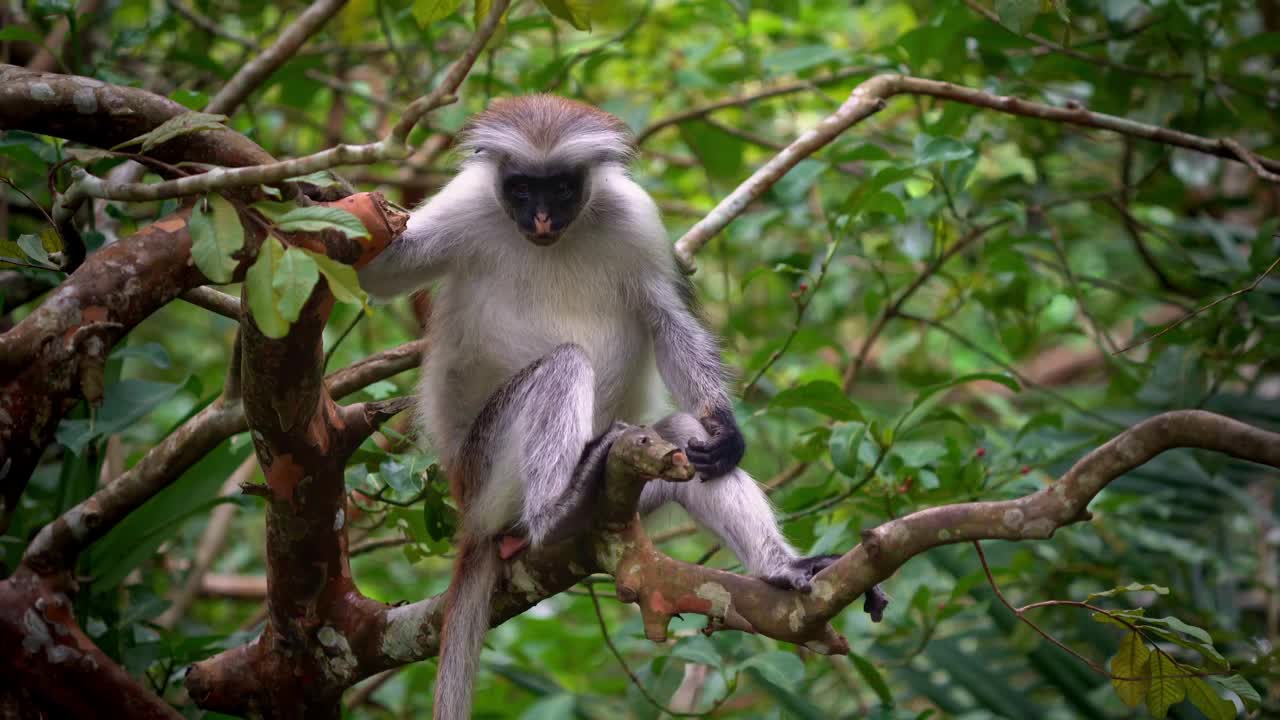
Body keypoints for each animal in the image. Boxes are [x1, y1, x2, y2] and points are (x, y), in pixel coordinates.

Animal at [355, 95, 885, 717]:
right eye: (521, 189)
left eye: (562, 189)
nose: (540, 220)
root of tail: (467, 515)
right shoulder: (469, 202)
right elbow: (377, 273)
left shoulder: (631, 216)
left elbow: (664, 316)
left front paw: (725, 429)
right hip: (487, 471)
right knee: (564, 365)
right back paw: (553, 515)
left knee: (681, 435)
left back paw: (782, 567)